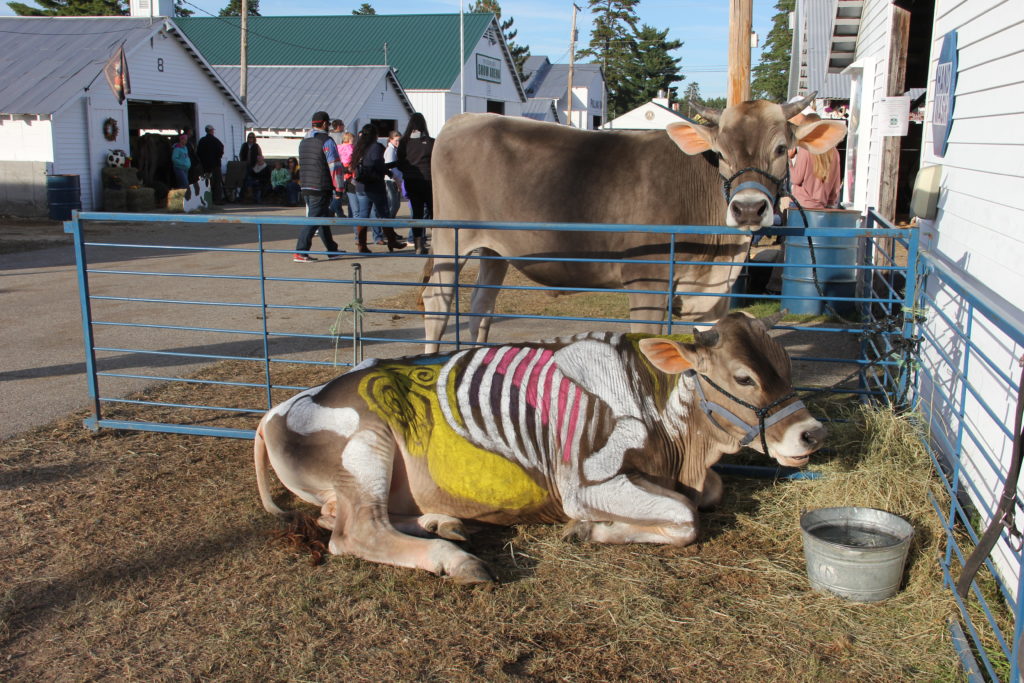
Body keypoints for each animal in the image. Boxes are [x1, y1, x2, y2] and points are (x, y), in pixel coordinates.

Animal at [253, 313, 823, 585]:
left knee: (339, 517)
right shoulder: (585, 483)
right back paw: (455, 559)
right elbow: (686, 516)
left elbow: (711, 493)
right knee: (355, 532)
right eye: (744, 377)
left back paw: (446, 522)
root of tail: (276, 411)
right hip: (368, 444)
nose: (811, 433)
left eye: (787, 366)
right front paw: (591, 529)